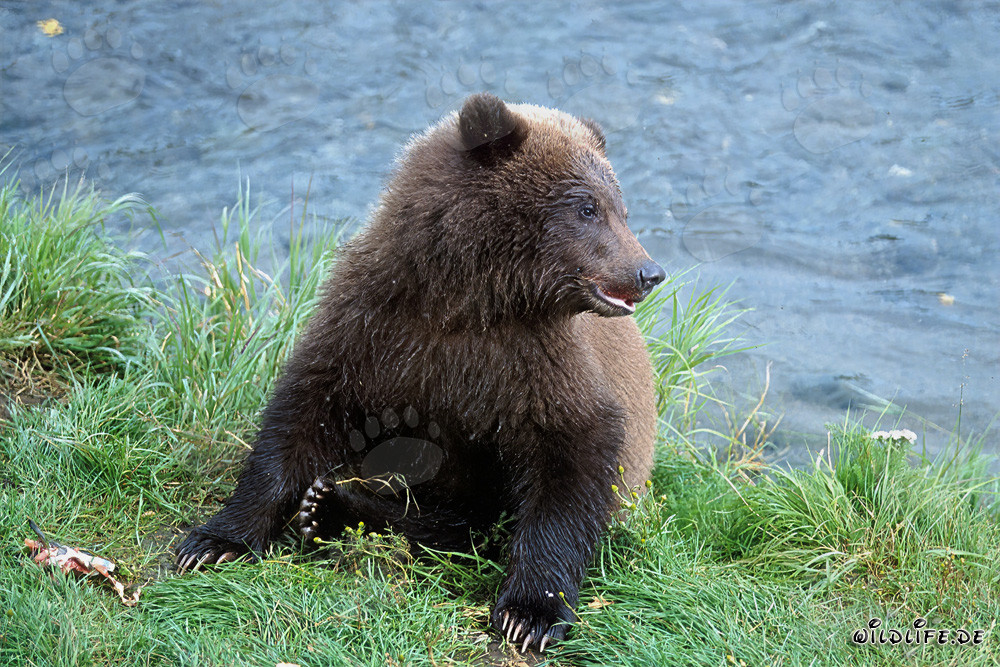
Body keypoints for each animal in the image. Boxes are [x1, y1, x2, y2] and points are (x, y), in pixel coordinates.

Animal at [176, 92, 665, 652]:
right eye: (588, 207)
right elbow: (301, 416)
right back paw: (326, 506)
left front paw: (530, 613)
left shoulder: (536, 365)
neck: (470, 297)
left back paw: (333, 508)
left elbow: (573, 460)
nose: (649, 271)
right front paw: (214, 541)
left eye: (620, 207)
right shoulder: (375, 326)